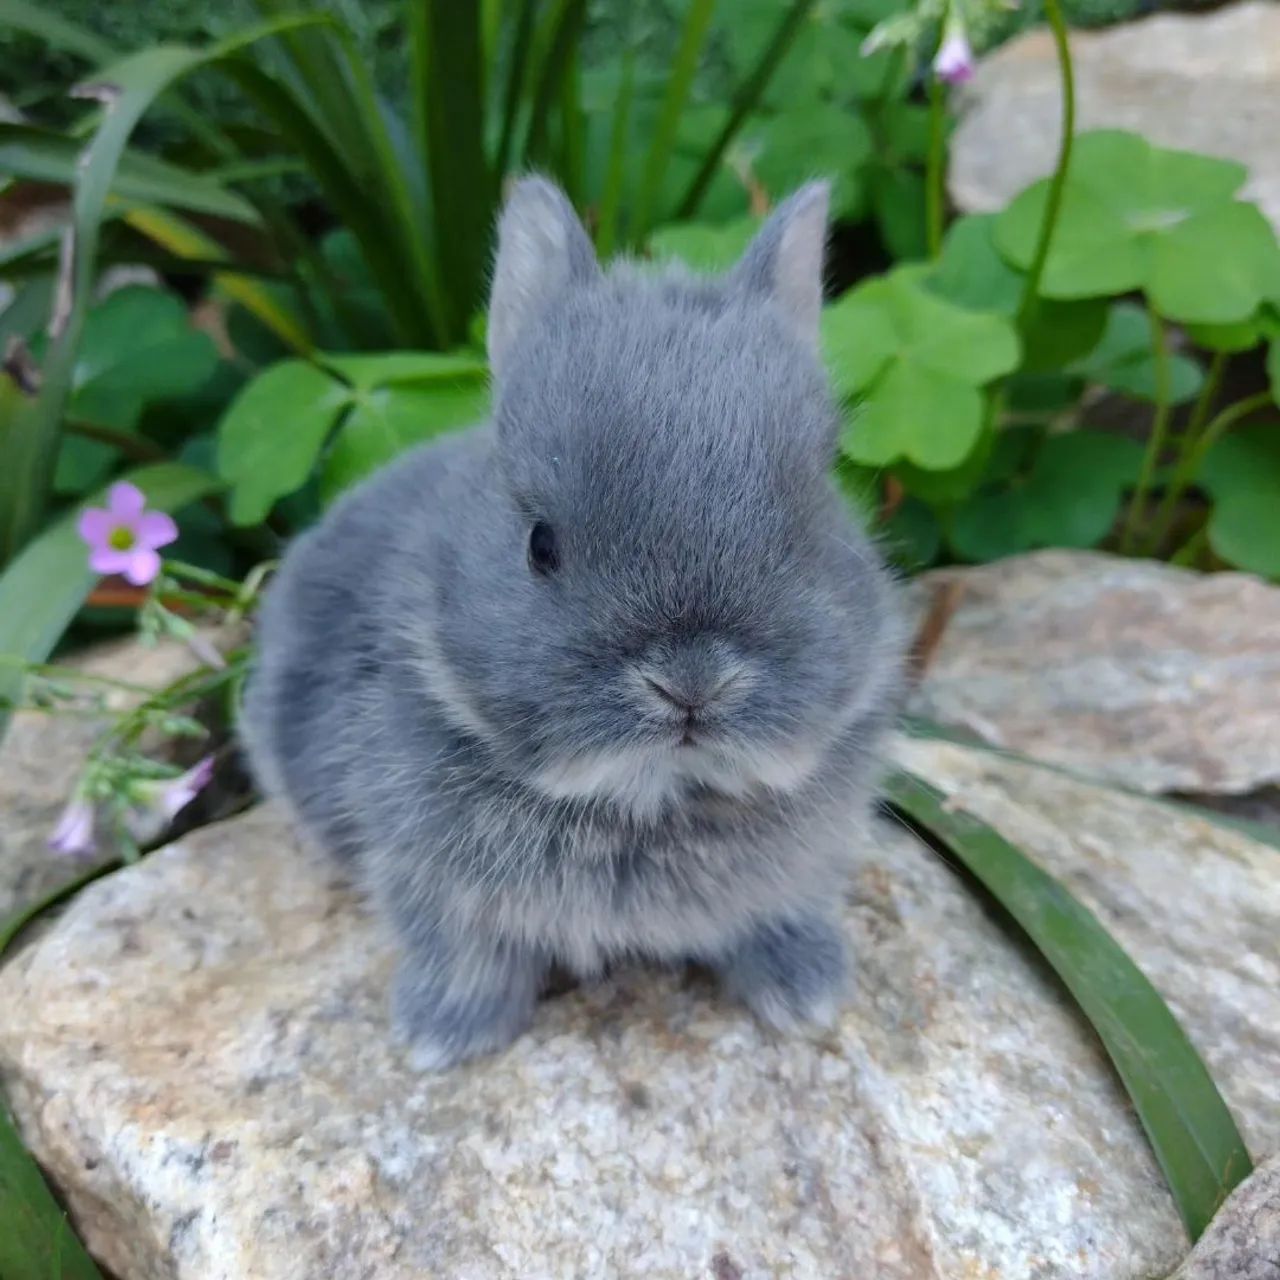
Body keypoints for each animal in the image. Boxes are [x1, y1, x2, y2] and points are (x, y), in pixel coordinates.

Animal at [240, 177, 906, 1069]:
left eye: (811, 517)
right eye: (541, 544)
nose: (690, 684)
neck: (651, 801)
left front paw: (808, 998)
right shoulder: (435, 890)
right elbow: (466, 958)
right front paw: (439, 1040)